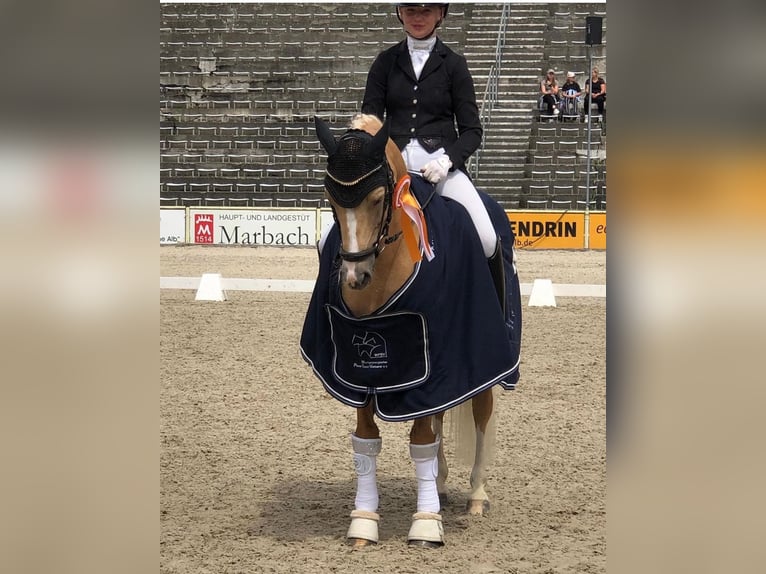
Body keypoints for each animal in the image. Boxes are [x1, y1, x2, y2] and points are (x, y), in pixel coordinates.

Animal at [300, 112, 520, 548]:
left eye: (376, 199)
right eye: (331, 200)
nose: (355, 276)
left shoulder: (428, 365)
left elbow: (420, 441)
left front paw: (425, 524)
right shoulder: (359, 370)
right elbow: (367, 440)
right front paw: (364, 522)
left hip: (483, 360)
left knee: (480, 414)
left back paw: (476, 495)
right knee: (440, 418)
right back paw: (441, 483)